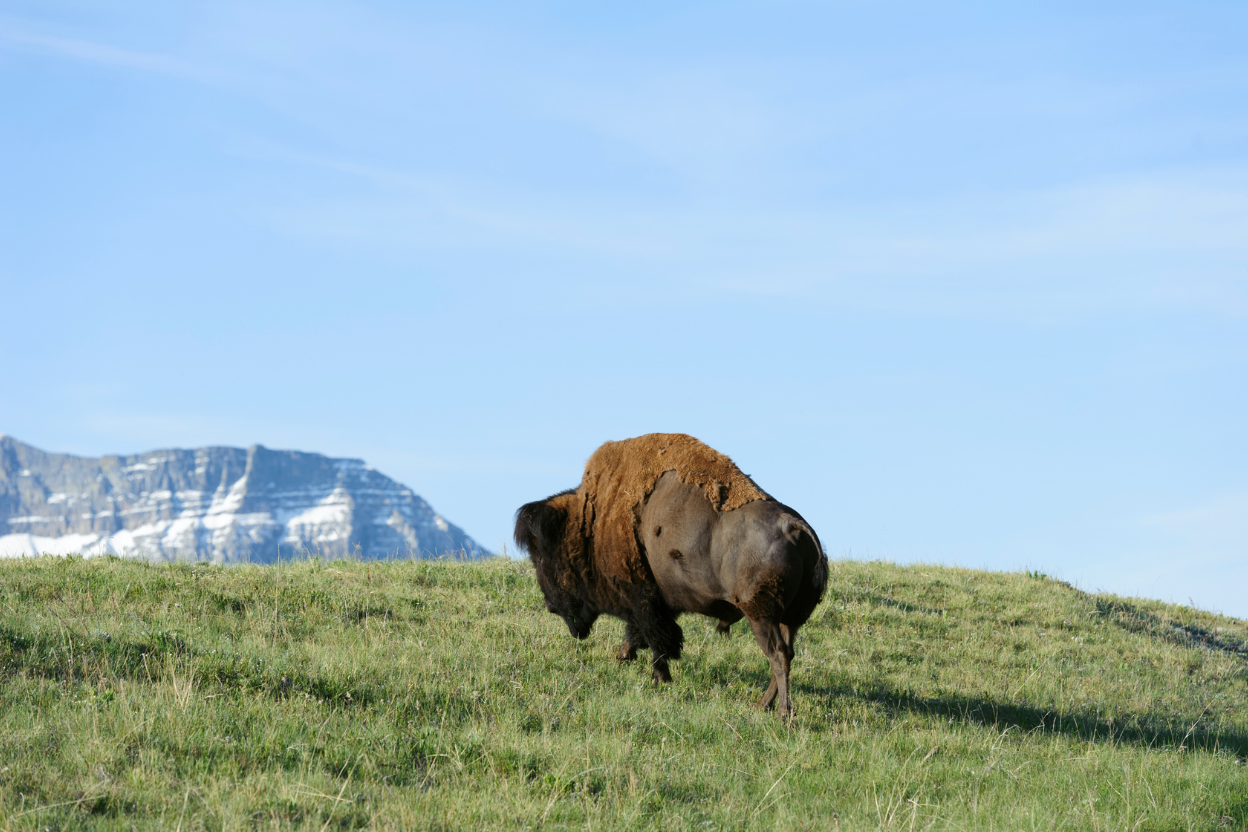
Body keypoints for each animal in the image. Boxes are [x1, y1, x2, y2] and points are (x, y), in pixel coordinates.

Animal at [514, 433, 827, 718]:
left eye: (543, 556)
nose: (550, 606)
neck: (591, 520)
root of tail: (792, 525)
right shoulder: (659, 602)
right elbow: (642, 634)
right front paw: (625, 658)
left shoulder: (643, 597)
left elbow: (657, 638)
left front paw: (659, 678)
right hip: (788, 618)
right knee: (787, 653)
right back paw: (763, 705)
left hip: (760, 615)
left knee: (777, 655)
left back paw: (783, 712)